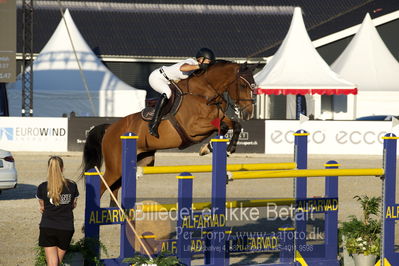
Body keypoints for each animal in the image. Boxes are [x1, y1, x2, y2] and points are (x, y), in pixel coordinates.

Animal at [81, 60, 256, 204]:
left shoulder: (219, 117)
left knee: (115, 188)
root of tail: (110, 128)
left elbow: (234, 125)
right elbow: (223, 127)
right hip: (115, 167)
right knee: (103, 187)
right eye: (243, 86)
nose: (249, 113)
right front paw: (208, 148)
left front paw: (225, 149)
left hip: (143, 160)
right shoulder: (193, 128)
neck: (204, 93)